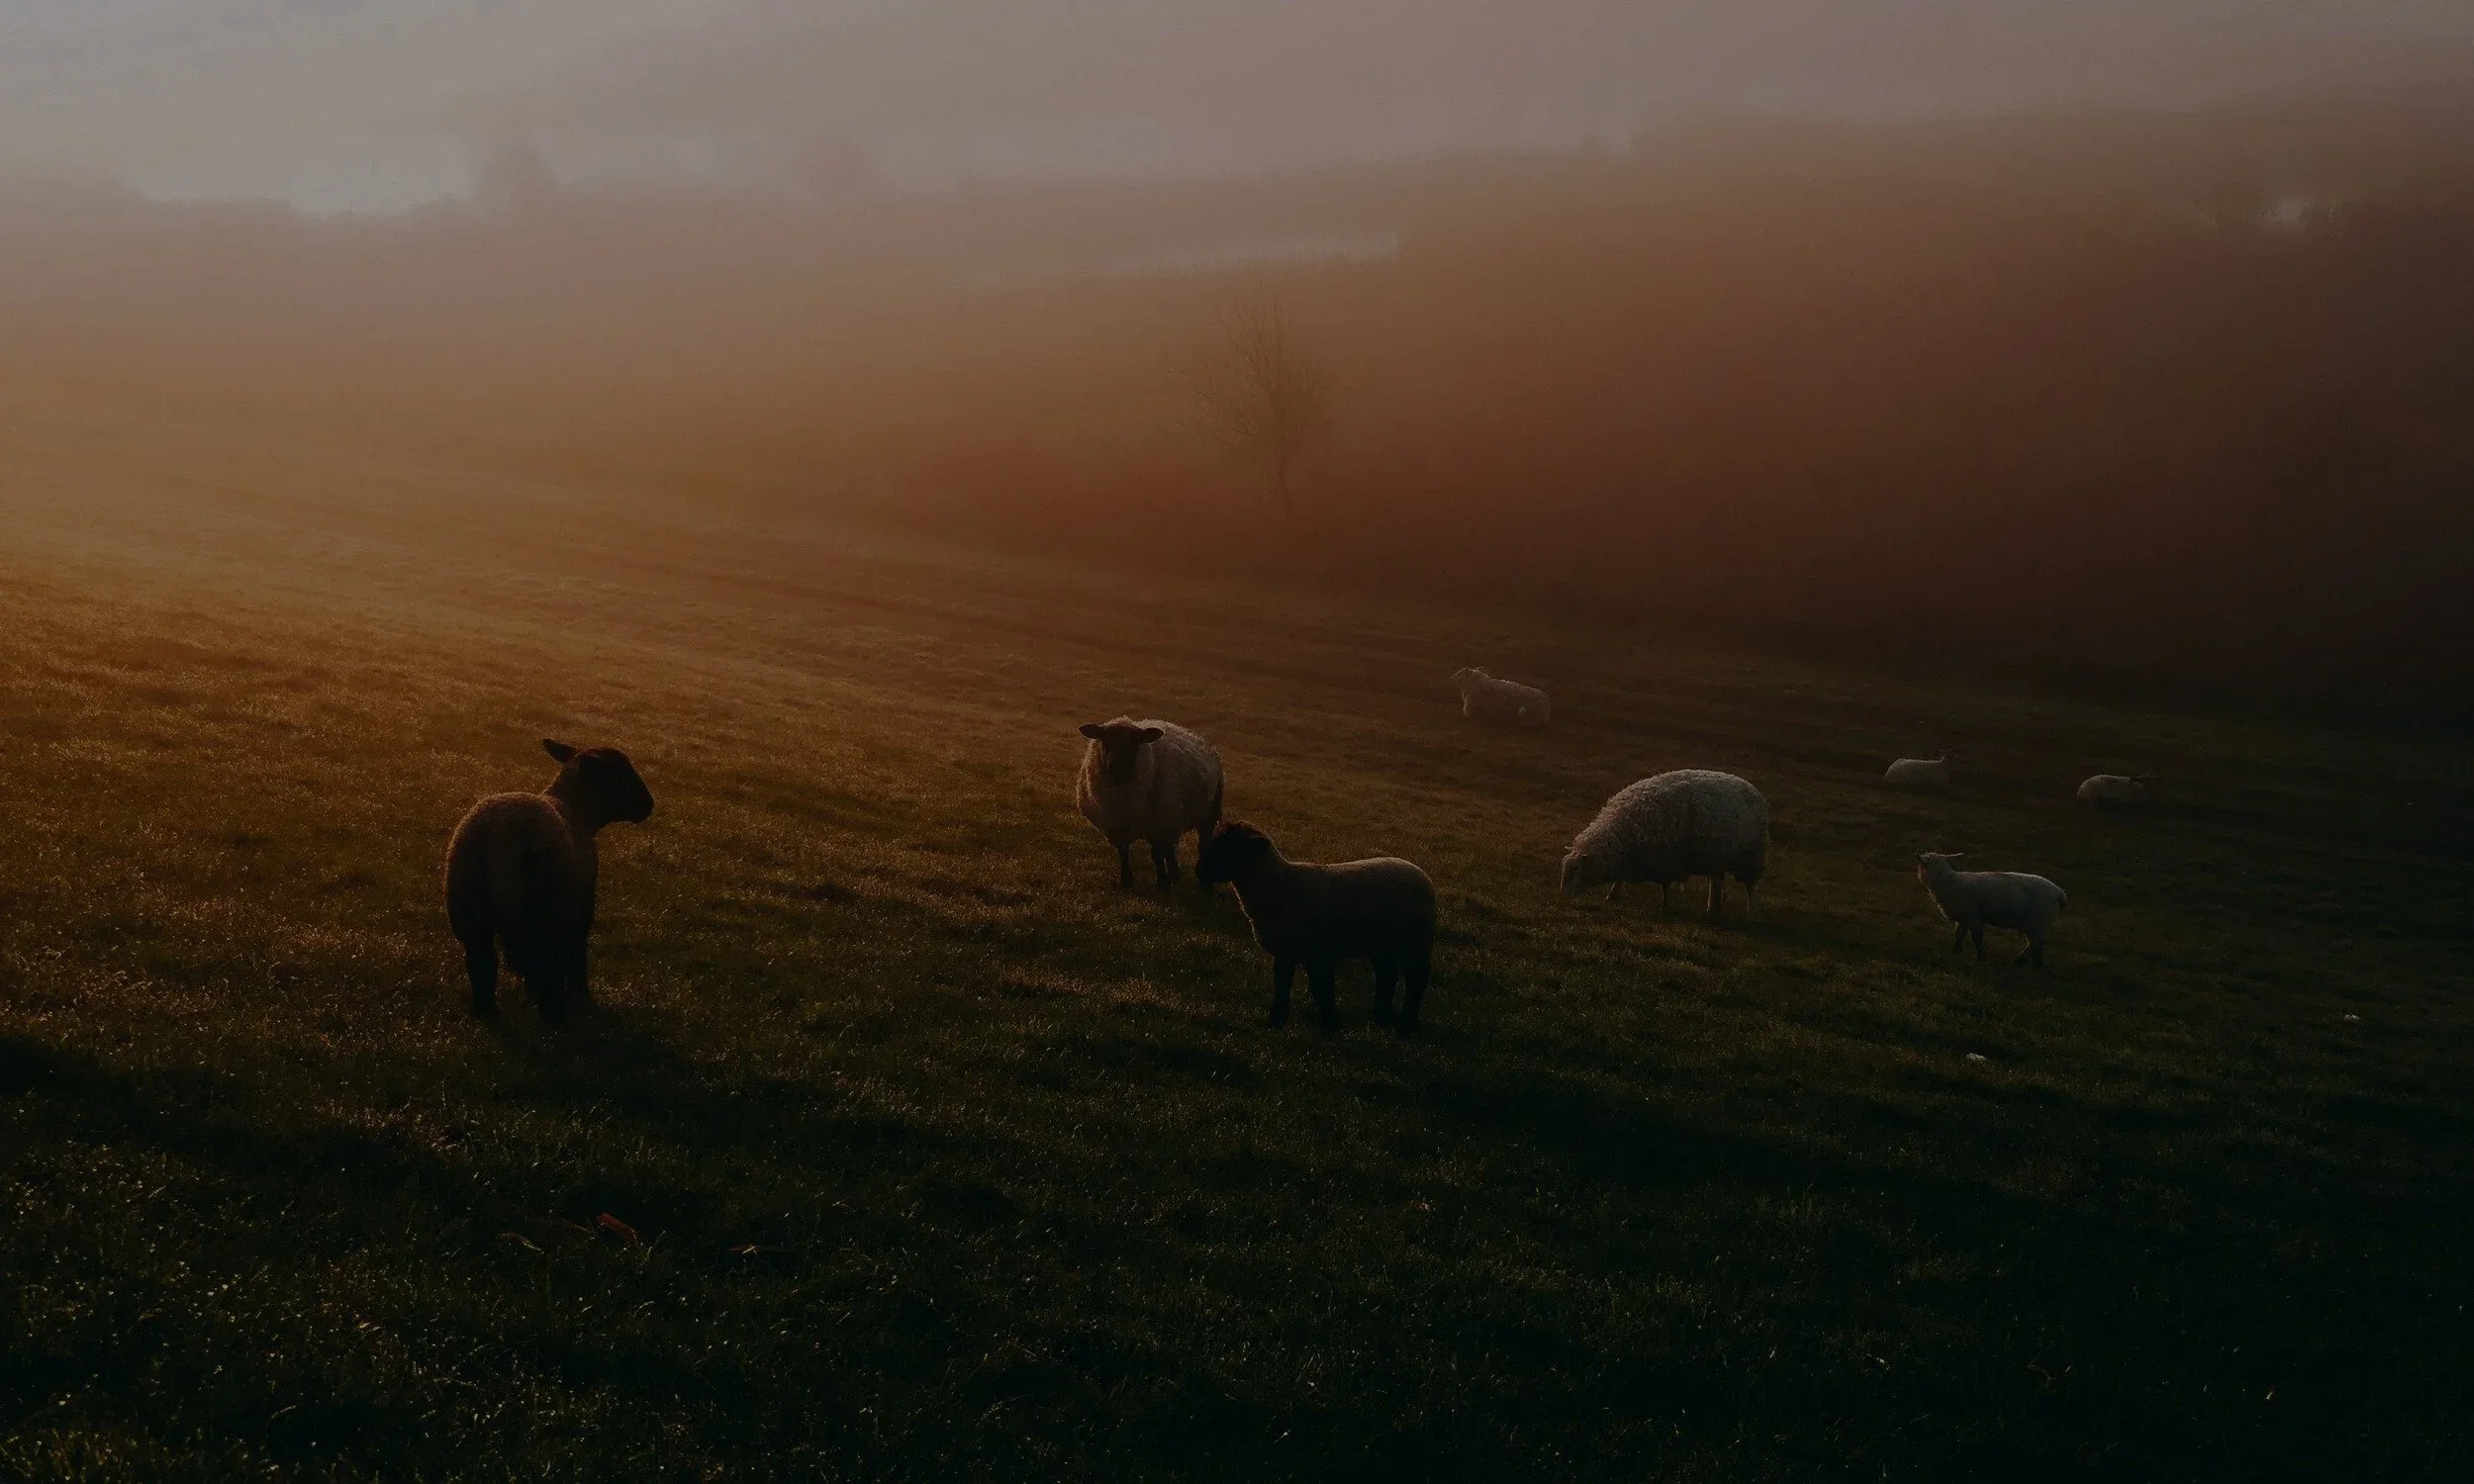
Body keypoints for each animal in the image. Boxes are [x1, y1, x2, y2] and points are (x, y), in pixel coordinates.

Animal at [444, 739, 654, 1025]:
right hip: (542, 909)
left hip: (468, 909)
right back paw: (555, 1018)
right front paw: (582, 996)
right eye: (620, 774)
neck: (576, 809)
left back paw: (485, 1014)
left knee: (482, 966)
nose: (649, 804)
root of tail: (497, 841)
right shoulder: (581, 906)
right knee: (545, 964)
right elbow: (576, 955)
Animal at [1075, 717, 1224, 889]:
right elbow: (1124, 852)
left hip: (1206, 813)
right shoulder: (1118, 827)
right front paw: (1127, 881)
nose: (1116, 767)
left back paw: (1204, 885)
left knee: (1202, 844)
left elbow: (1156, 854)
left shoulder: (1159, 825)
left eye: (1135, 742)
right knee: (1170, 849)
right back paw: (1175, 875)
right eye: (1104, 740)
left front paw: (1162, 883)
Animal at [1194, 821, 1437, 1036]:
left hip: (1415, 941)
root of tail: (1421, 873)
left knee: (1416, 980)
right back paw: (1382, 1017)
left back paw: (1406, 1024)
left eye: (1230, 846)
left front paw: (1329, 1026)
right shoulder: (1286, 952)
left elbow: (1322, 989)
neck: (1280, 884)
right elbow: (1282, 985)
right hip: (1384, 944)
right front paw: (1275, 1023)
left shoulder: (1319, 954)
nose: (1199, 872)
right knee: (1387, 976)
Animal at [1561, 769, 1769, 918]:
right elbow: (1621, 879)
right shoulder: (1635, 857)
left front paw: (1664, 904)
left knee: (1750, 887)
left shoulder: (1665, 860)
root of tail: (1753, 789)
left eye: (1575, 869)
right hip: (1715, 858)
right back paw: (1712, 909)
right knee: (1716, 883)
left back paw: (1751, 912)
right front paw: (1612, 894)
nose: (1563, 896)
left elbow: (1665, 885)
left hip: (1751, 858)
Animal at [1914, 852, 2067, 967]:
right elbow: (1958, 934)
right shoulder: (1964, 917)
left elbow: (1977, 937)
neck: (1950, 882)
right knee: (2033, 943)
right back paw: (2021, 961)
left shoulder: (1973, 915)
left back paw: (2033, 964)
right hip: (2033, 923)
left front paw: (1981, 957)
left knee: (2036, 942)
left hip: (2037, 921)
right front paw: (1955, 951)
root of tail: (2059, 892)